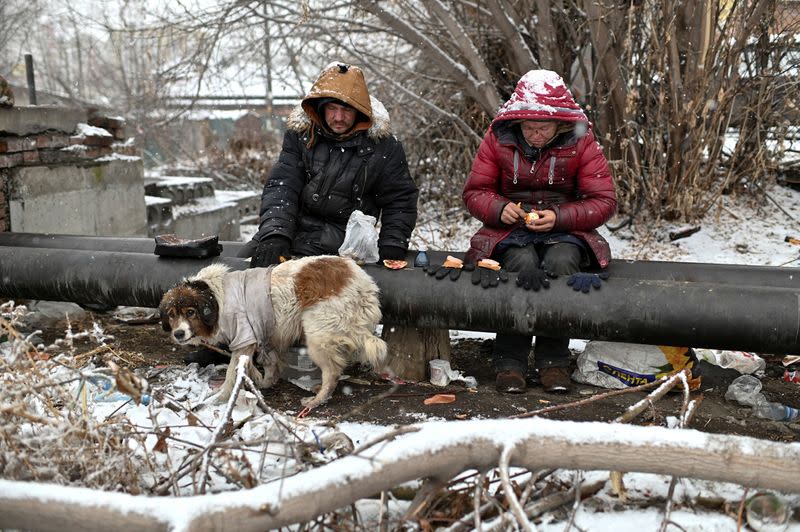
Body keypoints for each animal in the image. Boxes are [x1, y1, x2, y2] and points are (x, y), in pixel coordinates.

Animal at [158, 256, 390, 414]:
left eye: (191, 312)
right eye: (171, 315)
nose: (179, 333)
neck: (214, 296)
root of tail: (362, 282)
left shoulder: (243, 337)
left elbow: (232, 373)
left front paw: (220, 398)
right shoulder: (262, 335)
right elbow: (264, 364)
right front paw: (261, 380)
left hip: (318, 337)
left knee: (332, 373)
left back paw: (317, 400)